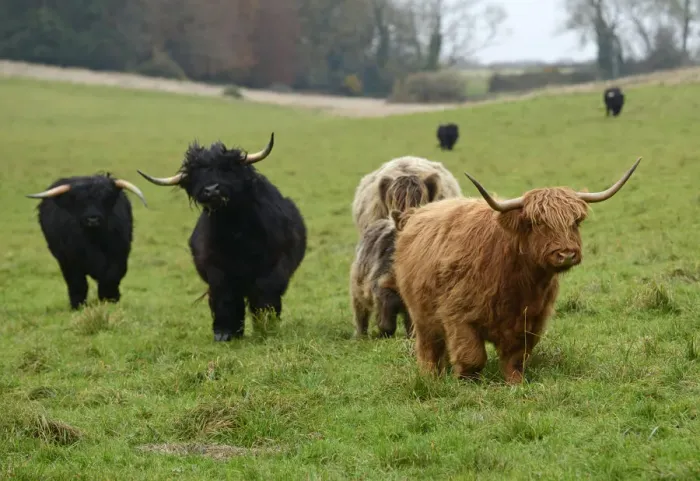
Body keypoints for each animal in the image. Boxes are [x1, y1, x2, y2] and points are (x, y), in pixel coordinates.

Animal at [25, 173, 148, 310]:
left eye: (105, 198)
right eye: (79, 201)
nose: (92, 219)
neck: (94, 239)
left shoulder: (119, 255)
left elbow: (111, 277)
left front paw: (110, 299)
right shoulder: (69, 260)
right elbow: (78, 283)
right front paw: (78, 305)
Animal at [136, 133, 307, 342]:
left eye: (226, 168)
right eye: (196, 176)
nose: (211, 190)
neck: (236, 233)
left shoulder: (274, 265)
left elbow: (264, 293)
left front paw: (265, 328)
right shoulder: (216, 269)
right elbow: (225, 298)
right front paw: (225, 333)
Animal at [393, 158, 642, 384]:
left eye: (575, 222)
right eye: (537, 222)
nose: (567, 254)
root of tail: (415, 214)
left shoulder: (530, 321)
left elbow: (515, 358)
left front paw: (515, 383)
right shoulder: (459, 315)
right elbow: (472, 356)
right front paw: (466, 382)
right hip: (421, 315)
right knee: (429, 348)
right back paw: (429, 377)